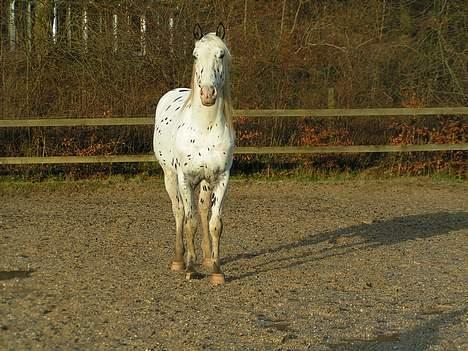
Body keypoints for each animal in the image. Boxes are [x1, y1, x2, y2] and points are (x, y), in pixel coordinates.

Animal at [154, 23, 234, 284]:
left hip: (206, 182)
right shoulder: (185, 178)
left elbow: (215, 223)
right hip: (170, 176)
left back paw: (207, 257)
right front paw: (190, 268)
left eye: (221, 54)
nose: (208, 94)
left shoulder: (222, 177)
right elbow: (190, 223)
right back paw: (179, 260)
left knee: (202, 209)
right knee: (179, 211)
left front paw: (217, 271)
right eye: (195, 55)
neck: (204, 128)